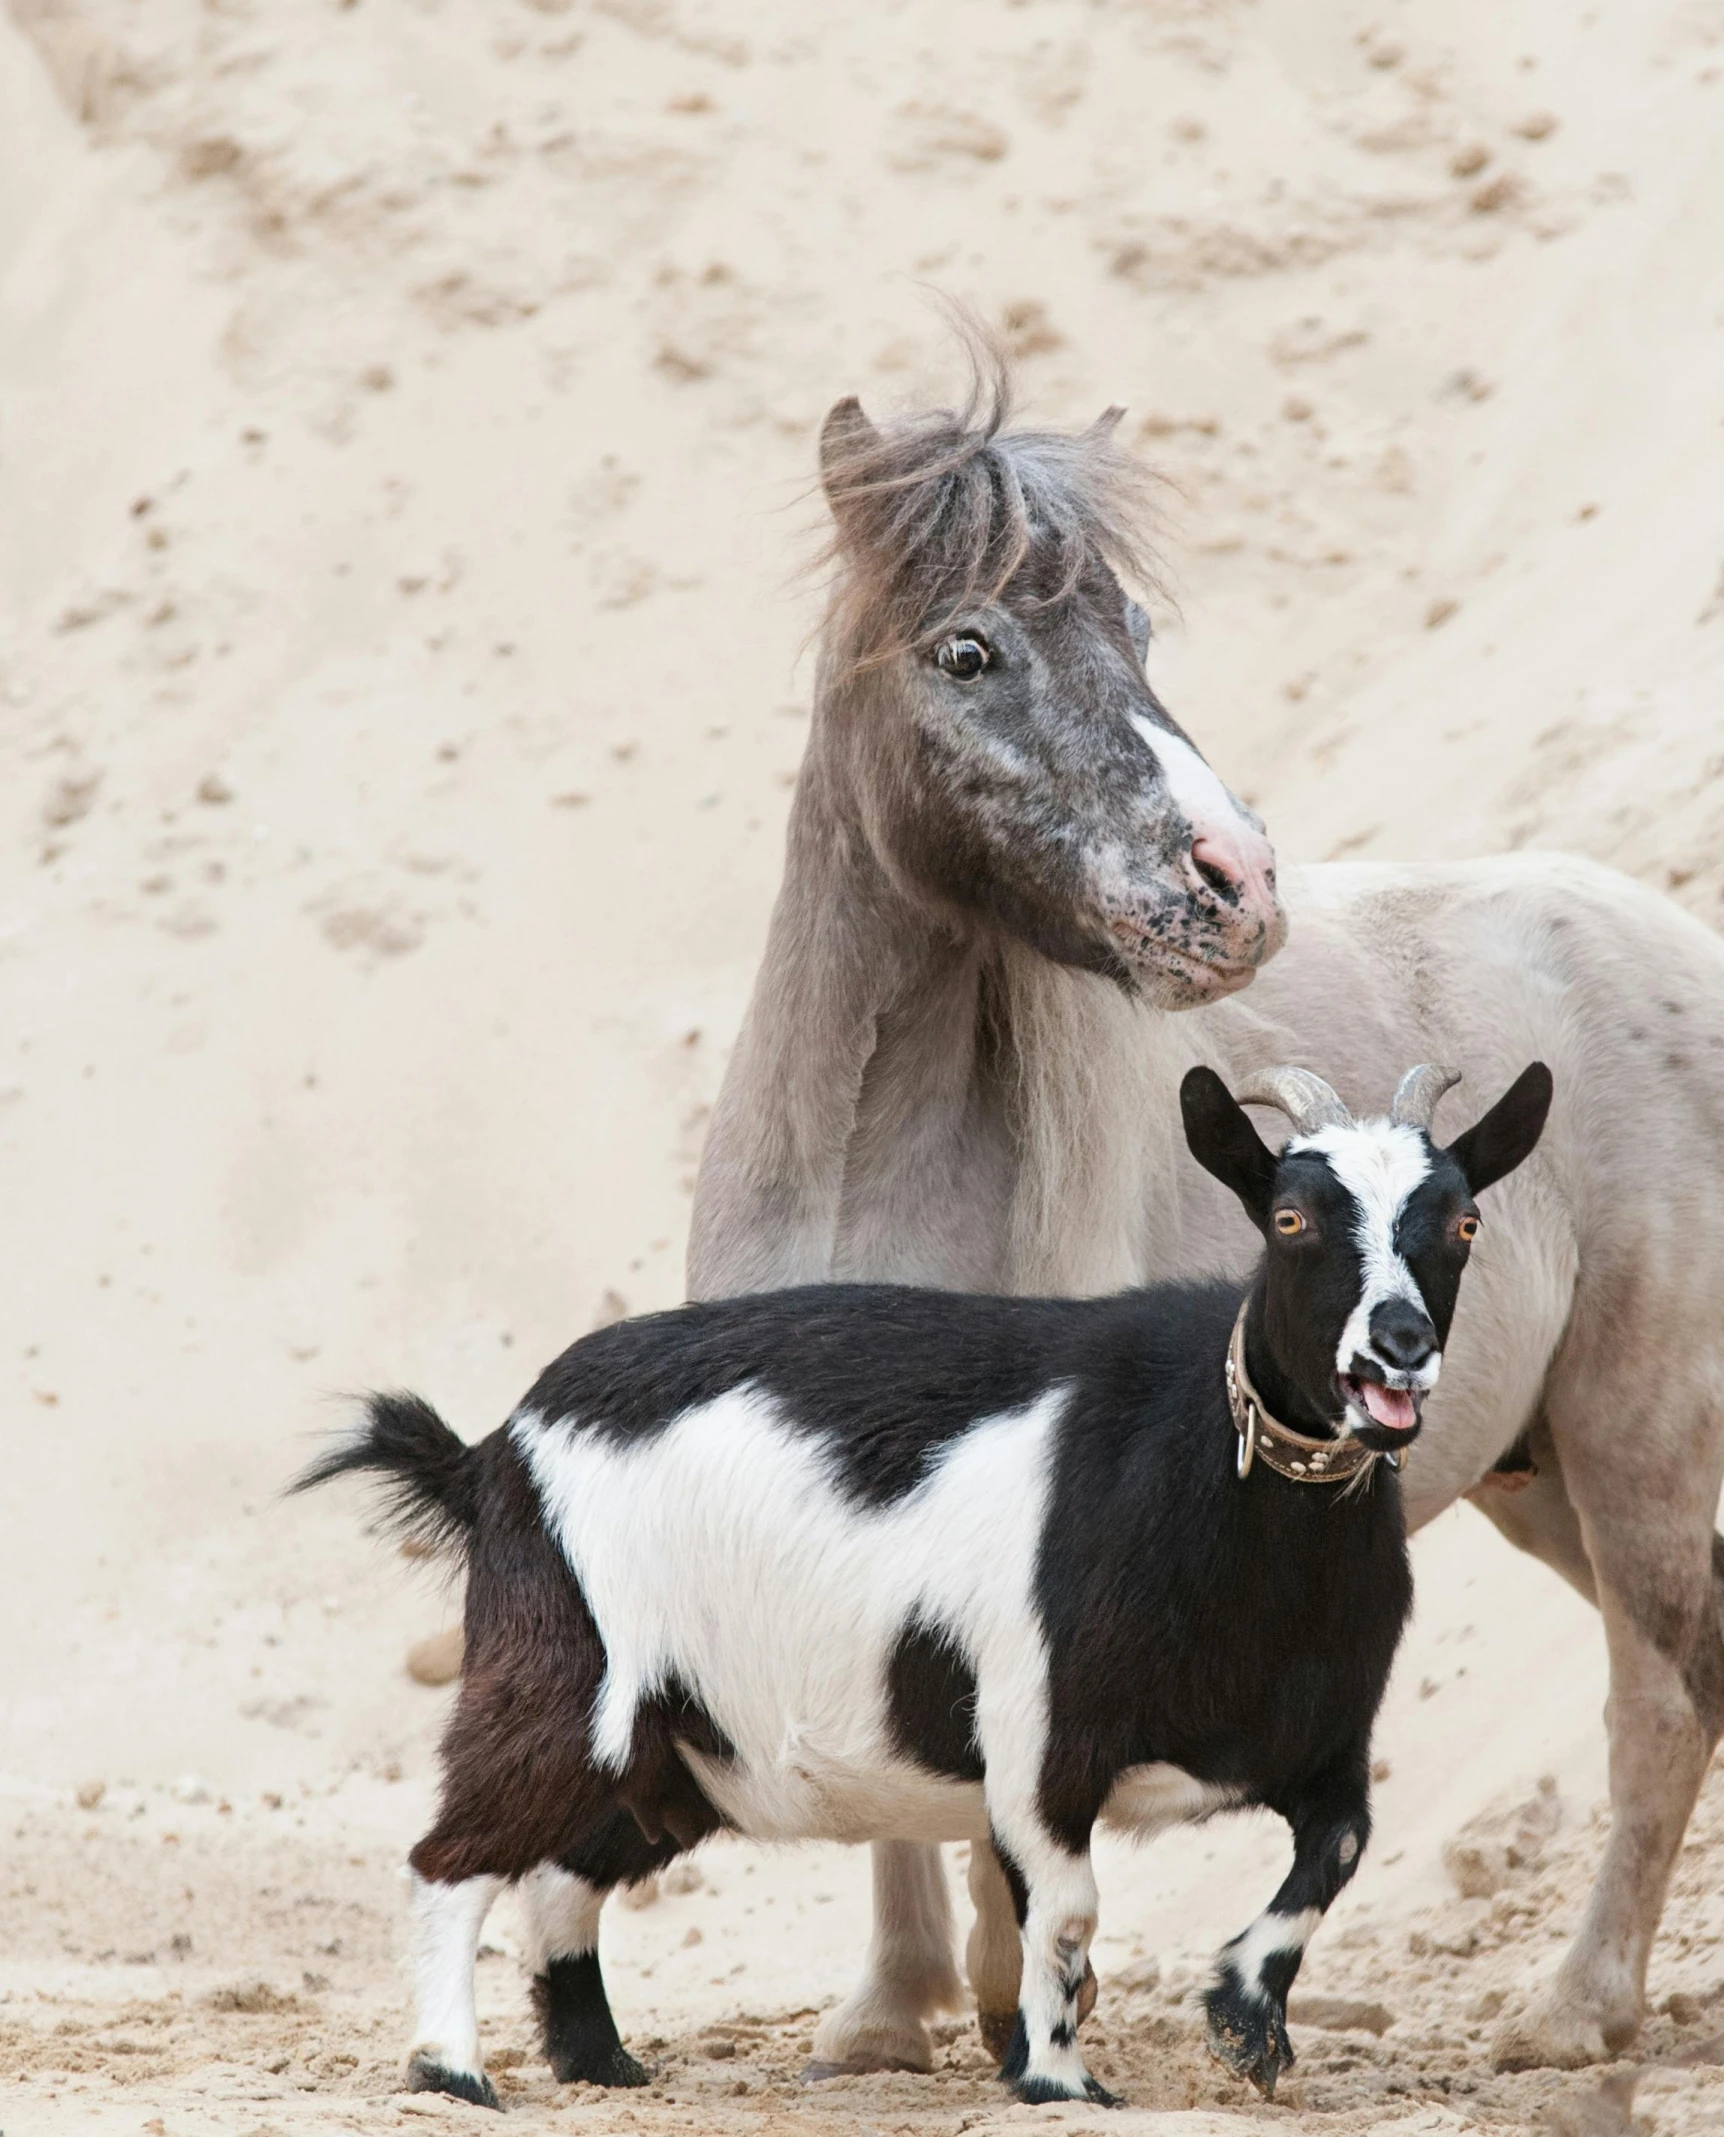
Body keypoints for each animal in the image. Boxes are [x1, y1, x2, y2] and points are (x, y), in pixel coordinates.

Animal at [303, 1051, 1555, 2102]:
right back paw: (451, 2068)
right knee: (450, 1856)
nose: (1396, 1346)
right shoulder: (1038, 1736)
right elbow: (1064, 1912)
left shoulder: (1321, 1737)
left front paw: (1245, 2024)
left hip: (683, 1748)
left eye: (1461, 1219)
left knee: (568, 1870)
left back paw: (598, 2058)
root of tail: (492, 1449)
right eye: (1288, 1217)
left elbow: (1331, 1853)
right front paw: (1059, 2081)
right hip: (565, 1671)